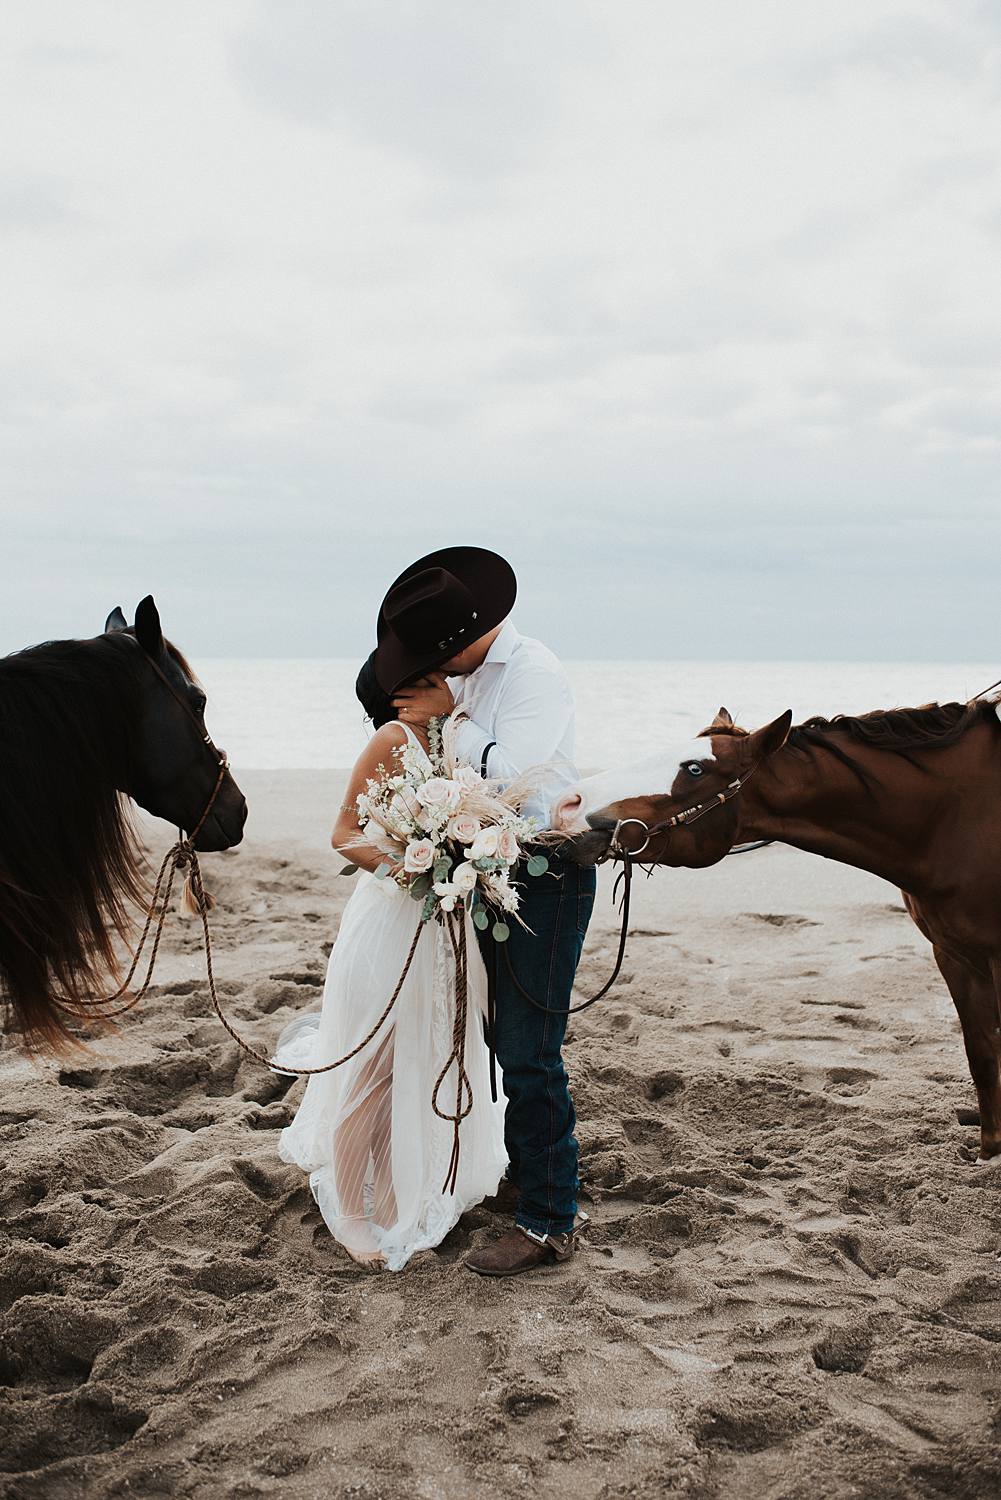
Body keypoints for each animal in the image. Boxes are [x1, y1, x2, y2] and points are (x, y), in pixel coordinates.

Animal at [552, 696, 1001, 1164]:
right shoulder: (953, 955)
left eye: (694, 769)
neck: (958, 819)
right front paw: (990, 1154)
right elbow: (982, 1056)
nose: (573, 805)